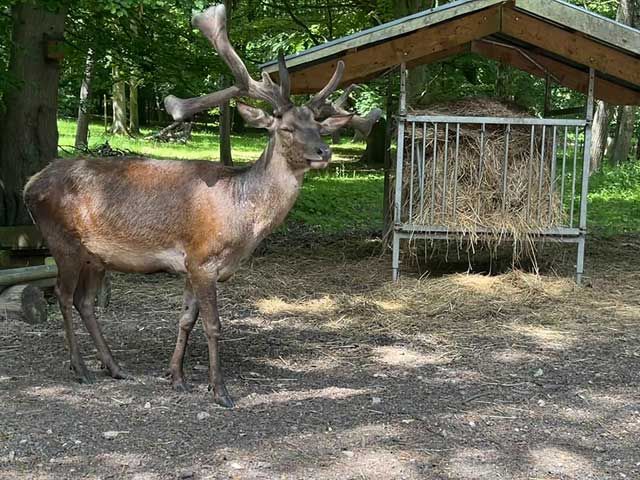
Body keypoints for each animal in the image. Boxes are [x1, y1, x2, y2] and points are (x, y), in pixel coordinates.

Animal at [23, 4, 380, 408]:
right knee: (64, 296)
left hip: (95, 256)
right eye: (286, 128)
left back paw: (113, 366)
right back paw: (81, 369)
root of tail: (30, 184)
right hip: (62, 241)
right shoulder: (202, 259)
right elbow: (212, 324)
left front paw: (175, 377)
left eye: (319, 127)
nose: (324, 152)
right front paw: (219, 389)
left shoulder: (191, 265)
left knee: (85, 301)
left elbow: (185, 319)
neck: (242, 220)